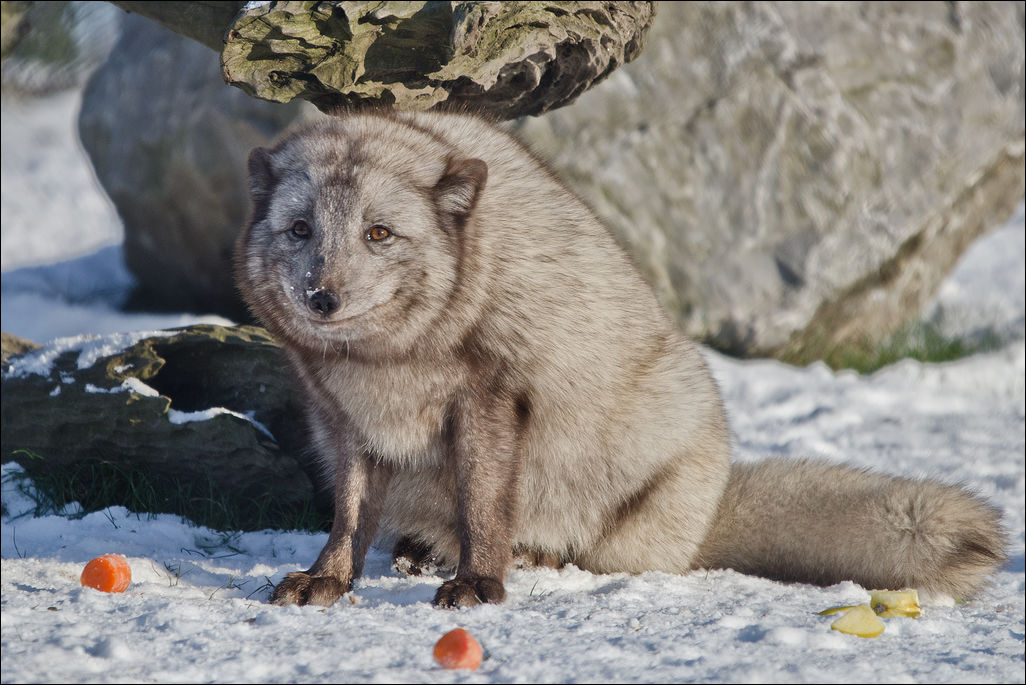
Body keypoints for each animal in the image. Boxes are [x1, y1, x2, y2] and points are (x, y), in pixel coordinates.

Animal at [230, 109, 1001, 607]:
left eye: (378, 233)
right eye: (299, 230)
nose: (321, 297)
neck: (385, 364)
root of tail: (710, 513)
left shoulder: (489, 399)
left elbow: (483, 502)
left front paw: (482, 581)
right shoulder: (344, 422)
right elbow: (348, 514)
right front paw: (328, 578)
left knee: (581, 545)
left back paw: (530, 552)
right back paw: (421, 549)